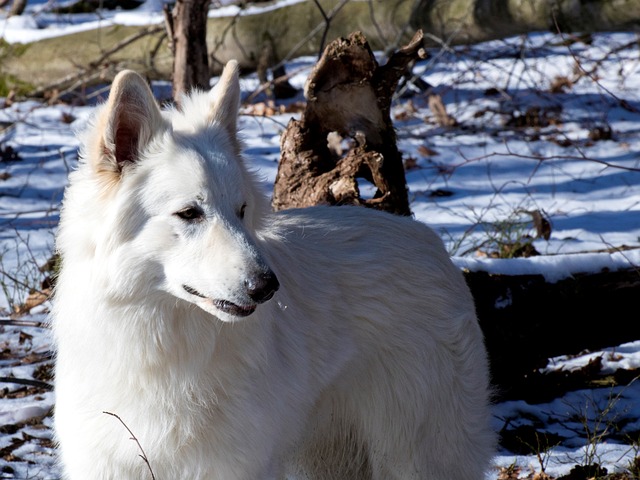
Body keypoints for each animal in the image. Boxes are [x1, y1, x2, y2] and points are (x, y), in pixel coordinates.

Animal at [53, 62, 496, 478]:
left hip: (414, 456)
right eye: (189, 213)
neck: (158, 340)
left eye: (241, 210)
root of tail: (428, 239)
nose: (267, 287)